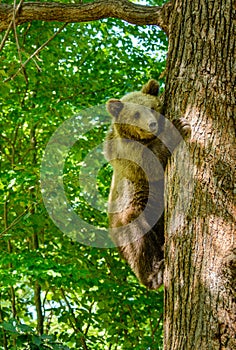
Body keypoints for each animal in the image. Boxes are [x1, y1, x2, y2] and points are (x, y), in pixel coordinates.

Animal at [104, 79, 191, 290]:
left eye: (152, 107)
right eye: (136, 114)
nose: (152, 124)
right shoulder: (128, 154)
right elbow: (151, 161)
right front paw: (179, 126)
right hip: (128, 215)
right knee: (138, 241)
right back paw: (155, 274)